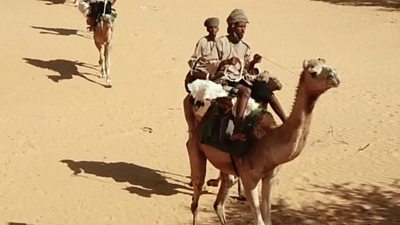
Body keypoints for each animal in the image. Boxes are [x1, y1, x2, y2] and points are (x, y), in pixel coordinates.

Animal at [184, 58, 340, 225]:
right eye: (313, 72)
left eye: (327, 64)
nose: (335, 77)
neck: (267, 139)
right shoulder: (248, 178)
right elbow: (259, 220)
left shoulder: (270, 177)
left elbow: (267, 219)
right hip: (195, 148)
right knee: (196, 198)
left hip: (226, 165)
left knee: (219, 202)